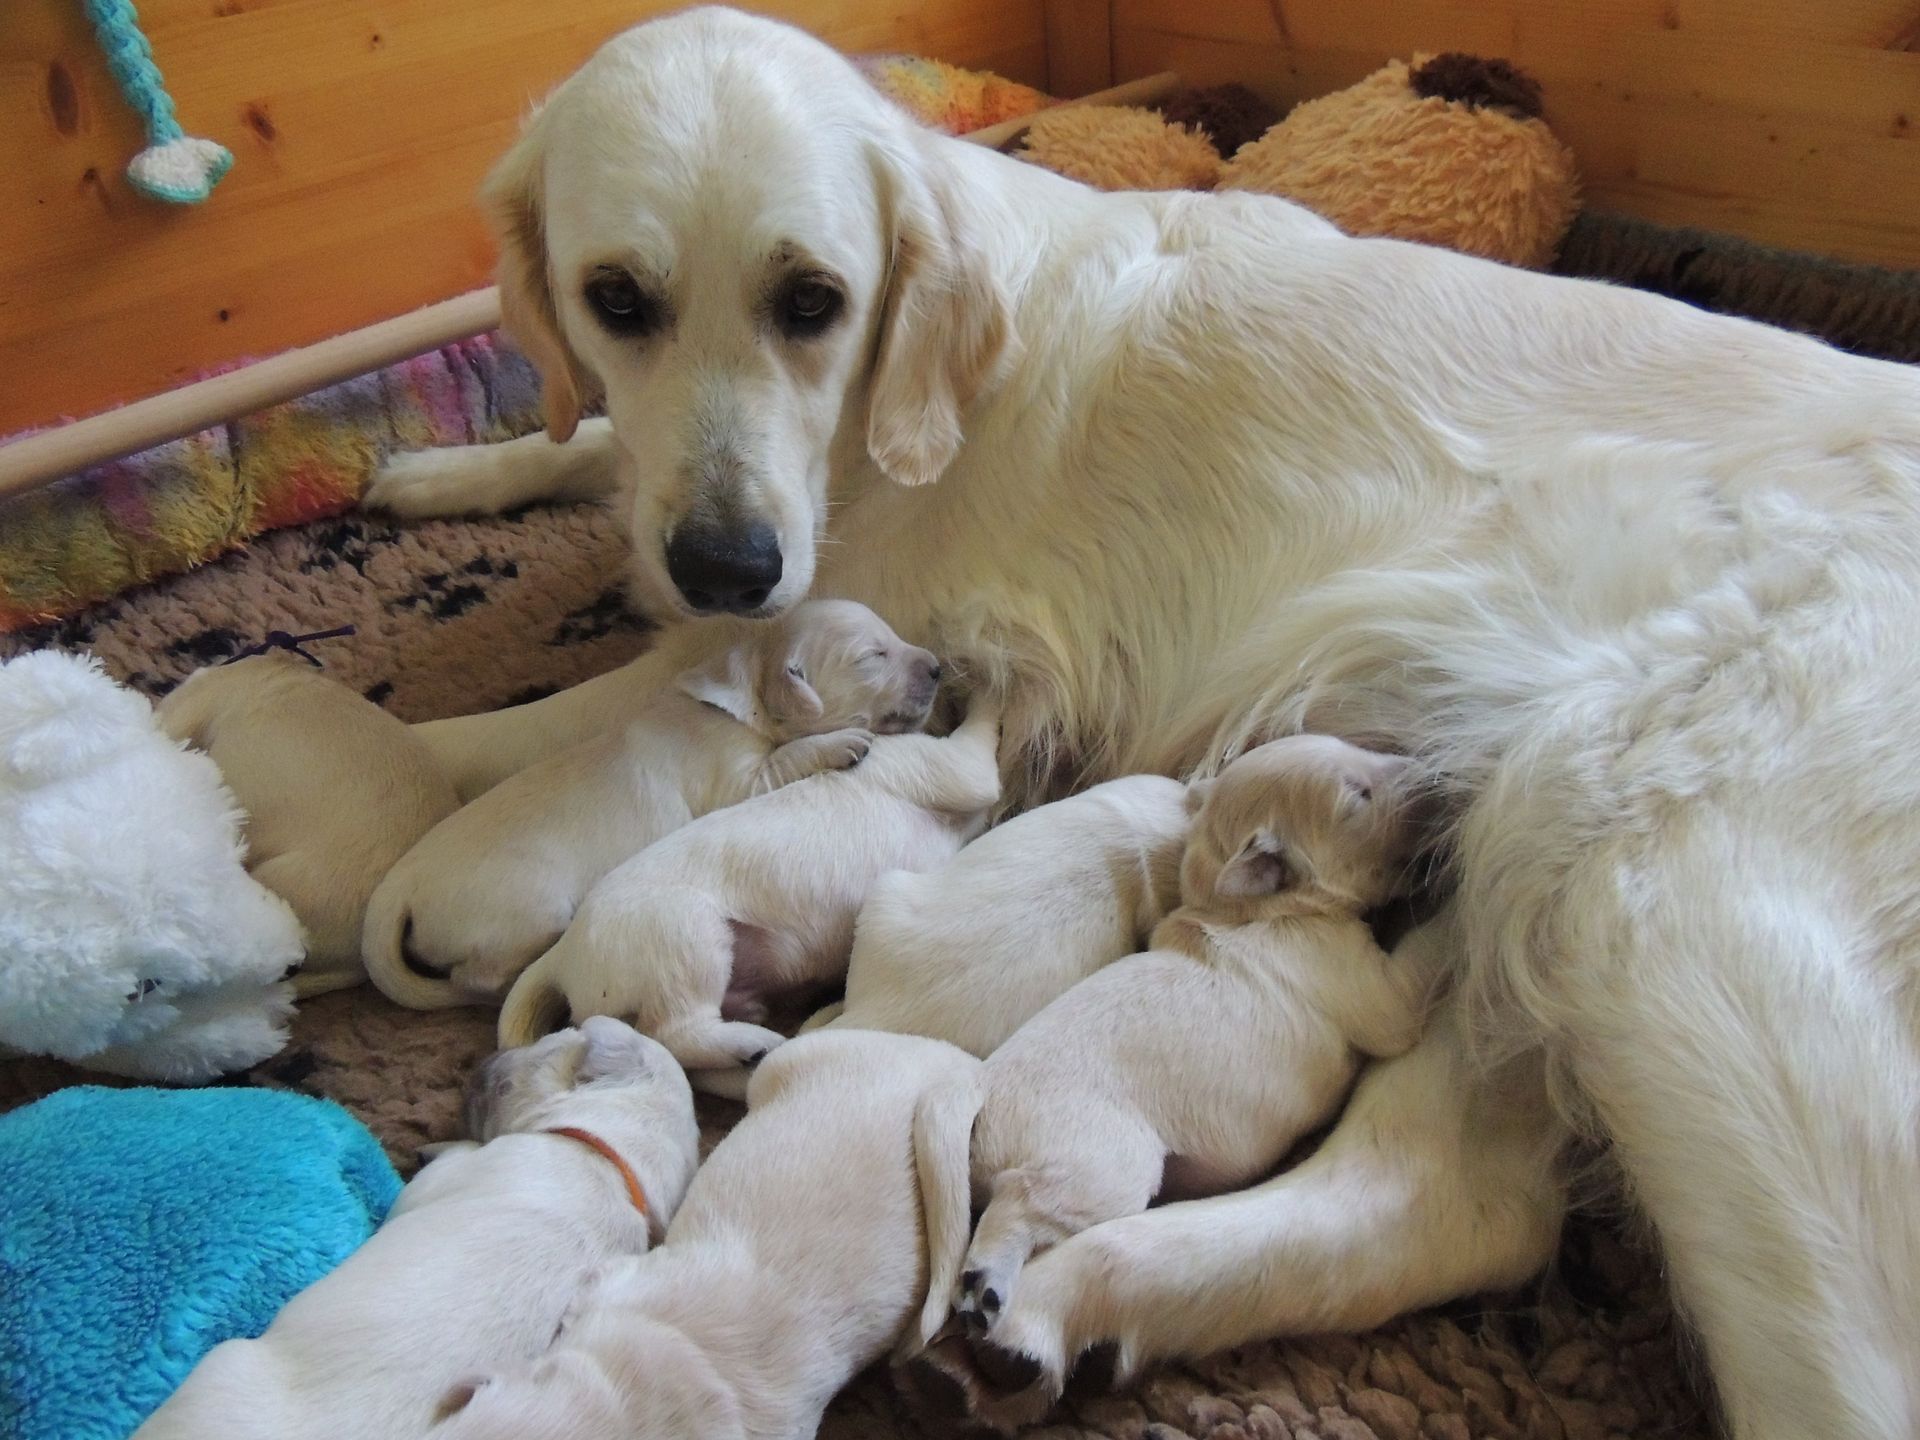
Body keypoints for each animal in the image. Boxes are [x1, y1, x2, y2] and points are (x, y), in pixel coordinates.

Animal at [131, 1018, 699, 1440]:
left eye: (540, 1046)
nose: (479, 1063)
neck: (608, 1159)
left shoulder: (450, 1176)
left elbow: (436, 1169)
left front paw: (430, 1146)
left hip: (221, 1369)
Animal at [362, 600, 937, 1008]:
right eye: (872, 656)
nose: (936, 667)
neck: (741, 693)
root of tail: (400, 882)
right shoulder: (737, 783)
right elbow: (791, 756)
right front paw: (840, 742)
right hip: (525, 914)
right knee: (474, 978)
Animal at [496, 698, 1001, 1090]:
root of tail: (561, 955)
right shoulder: (948, 764)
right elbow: (978, 740)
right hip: (684, 939)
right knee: (676, 1031)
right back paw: (756, 1043)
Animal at [928, 736, 1438, 1345]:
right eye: (1358, 795)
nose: (1434, 775)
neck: (1248, 908)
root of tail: (978, 1086)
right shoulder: (1362, 980)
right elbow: (1416, 976)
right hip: (1105, 1160)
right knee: (1021, 1203)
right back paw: (985, 1287)